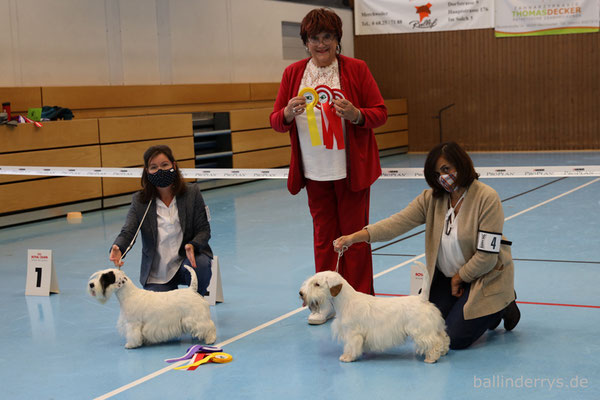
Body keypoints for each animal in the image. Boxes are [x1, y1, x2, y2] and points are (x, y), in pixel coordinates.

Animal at [85, 266, 214, 346]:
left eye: (105, 278)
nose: (91, 285)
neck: (129, 295)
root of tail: (191, 290)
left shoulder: (133, 324)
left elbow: (133, 335)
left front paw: (131, 345)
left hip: (197, 317)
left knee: (209, 327)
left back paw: (210, 340)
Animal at [298, 262, 448, 362]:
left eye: (317, 284)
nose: (301, 293)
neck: (345, 301)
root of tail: (422, 298)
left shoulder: (352, 332)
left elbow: (351, 345)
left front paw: (347, 357)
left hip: (421, 331)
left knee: (434, 341)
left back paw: (431, 358)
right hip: (435, 327)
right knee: (443, 337)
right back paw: (444, 351)